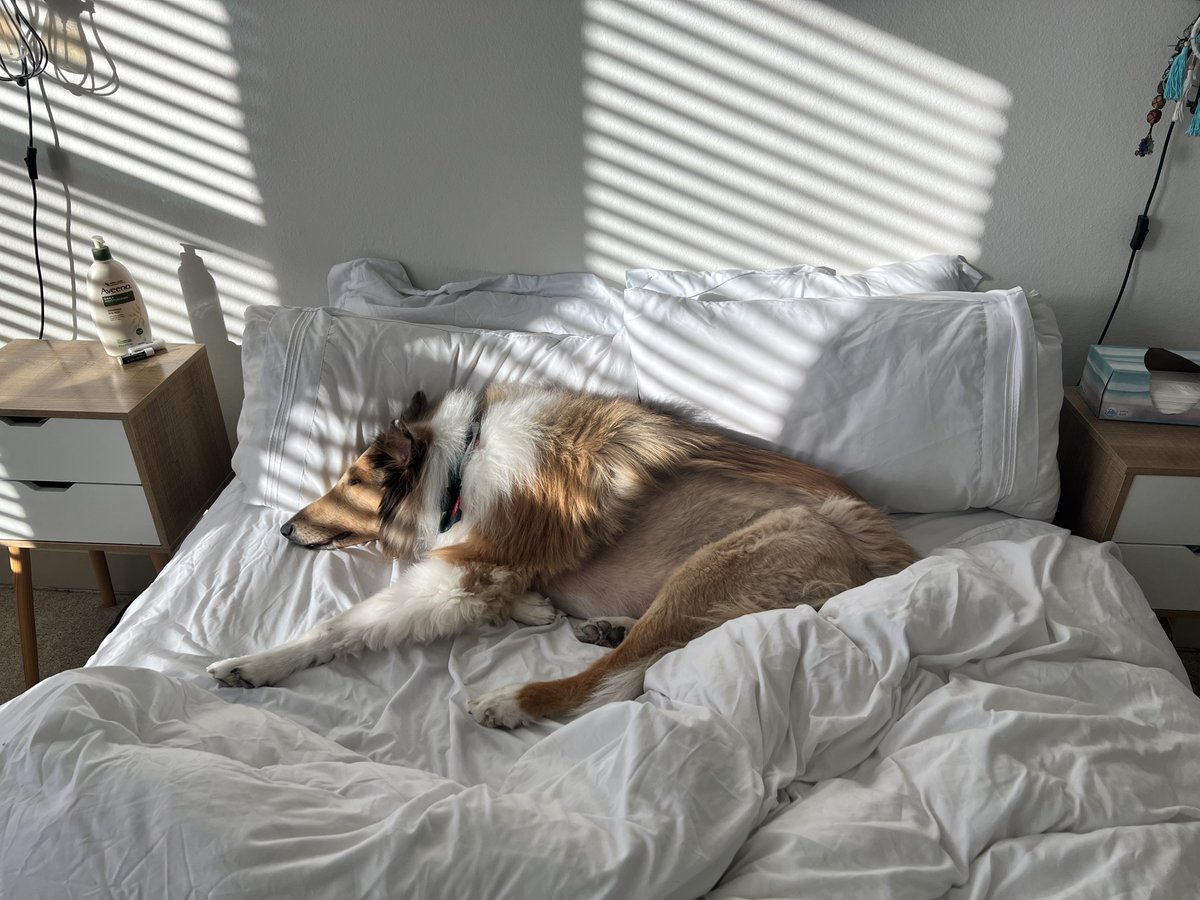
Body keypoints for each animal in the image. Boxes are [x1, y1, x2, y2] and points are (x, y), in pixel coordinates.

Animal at [208, 384, 916, 729]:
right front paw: (533, 607)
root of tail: (865, 565)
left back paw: (513, 702)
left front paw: (255, 663)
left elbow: (341, 625)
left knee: (607, 684)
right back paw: (606, 627)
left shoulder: (468, 566)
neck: (459, 468)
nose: (285, 529)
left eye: (355, 479)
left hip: (714, 567)